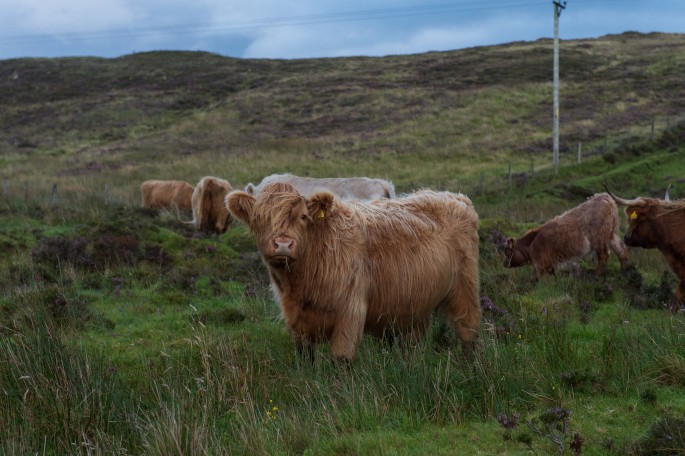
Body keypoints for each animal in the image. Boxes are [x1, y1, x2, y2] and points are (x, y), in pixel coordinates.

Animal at [226, 181, 480, 360]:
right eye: (259, 218)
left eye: (303, 216)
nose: (282, 245)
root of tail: (454, 196)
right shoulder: (296, 322)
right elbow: (305, 357)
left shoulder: (350, 311)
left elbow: (341, 359)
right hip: (414, 303)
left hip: (465, 290)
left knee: (468, 333)